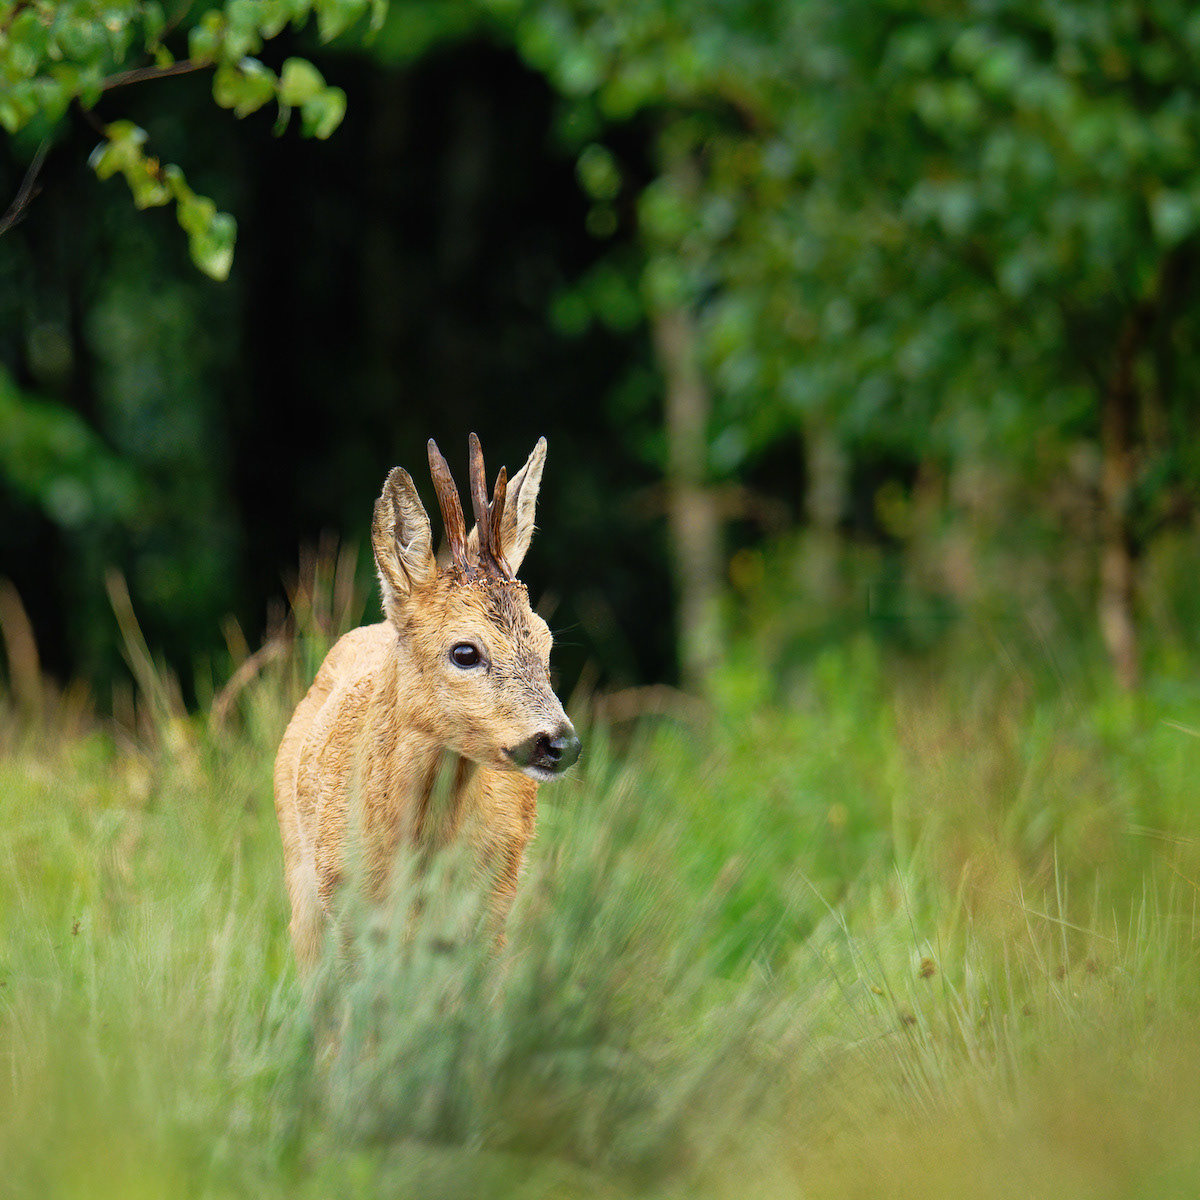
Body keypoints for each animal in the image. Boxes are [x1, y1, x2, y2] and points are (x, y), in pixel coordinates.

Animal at [273, 434, 580, 976]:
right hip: (302, 889)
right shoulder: (345, 914)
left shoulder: (490, 914)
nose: (560, 743)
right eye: (465, 652)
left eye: (546, 644)